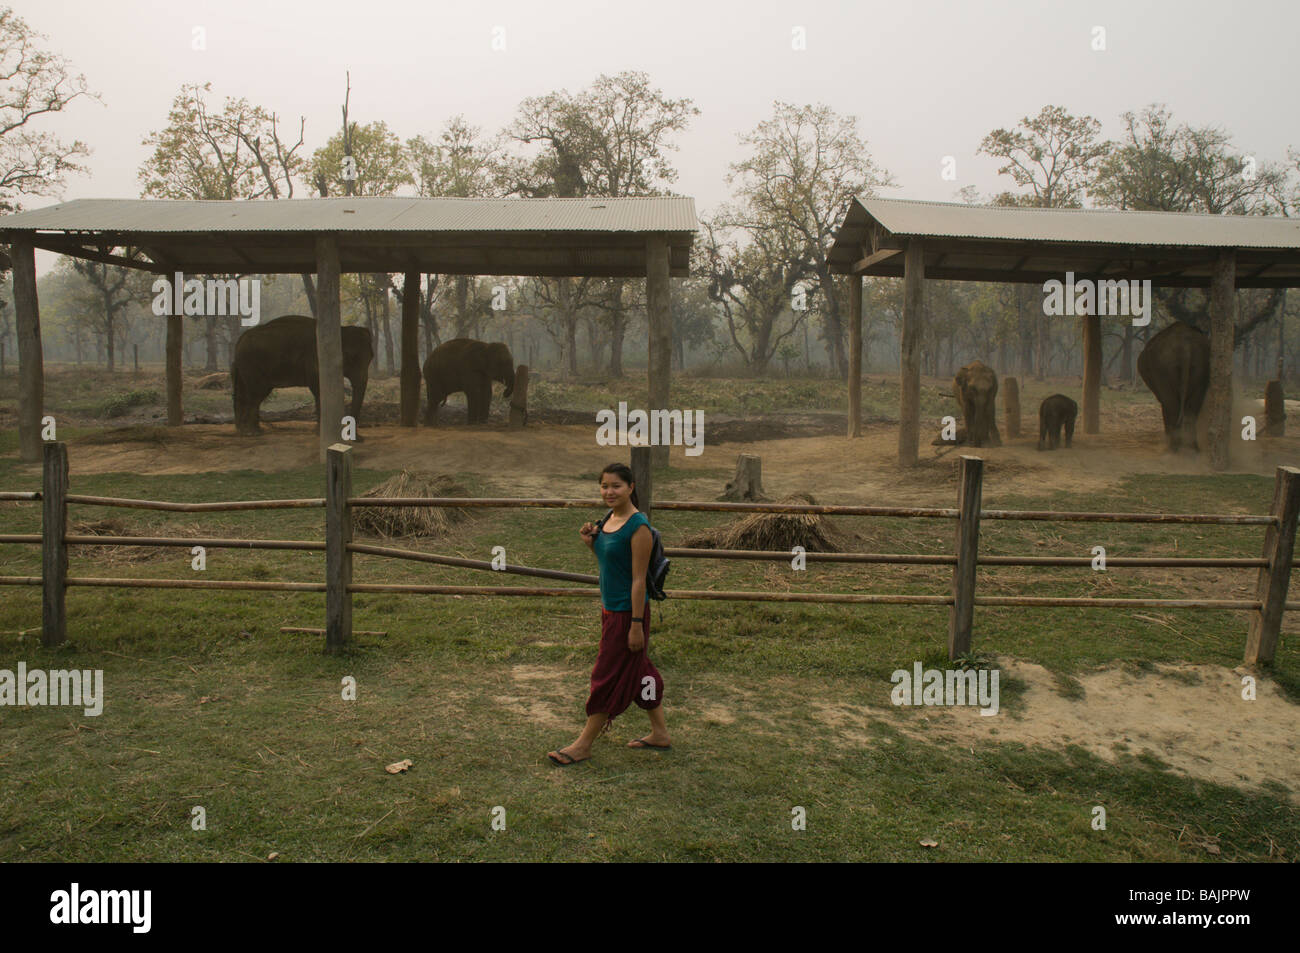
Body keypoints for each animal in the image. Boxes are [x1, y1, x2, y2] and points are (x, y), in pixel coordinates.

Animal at [227, 314, 371, 436]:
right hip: (252, 365)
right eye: (351, 358)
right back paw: (253, 432)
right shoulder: (315, 359)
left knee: (245, 393)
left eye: (371, 358)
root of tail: (238, 342)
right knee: (256, 394)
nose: (359, 438)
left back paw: (244, 430)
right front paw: (320, 433)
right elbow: (318, 389)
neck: (340, 329)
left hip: (245, 368)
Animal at [1138, 321, 1206, 452]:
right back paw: (1194, 450)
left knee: (1171, 404)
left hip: (1163, 368)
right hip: (1201, 365)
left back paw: (1173, 449)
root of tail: (1185, 347)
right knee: (1193, 407)